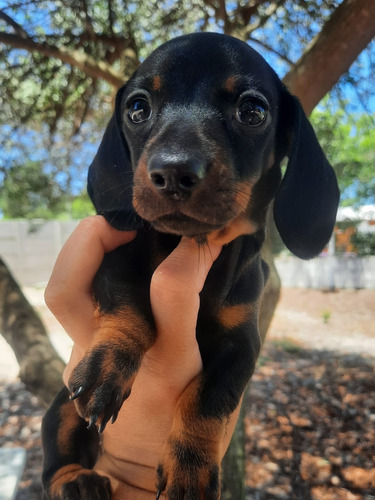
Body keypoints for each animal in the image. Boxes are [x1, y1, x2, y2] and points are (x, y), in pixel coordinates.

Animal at [41, 33, 340, 498]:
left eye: (253, 111)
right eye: (137, 108)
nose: (173, 172)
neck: (194, 245)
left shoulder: (242, 345)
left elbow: (208, 399)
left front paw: (191, 469)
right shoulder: (117, 260)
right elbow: (131, 312)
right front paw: (109, 366)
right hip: (61, 406)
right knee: (55, 454)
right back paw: (75, 480)